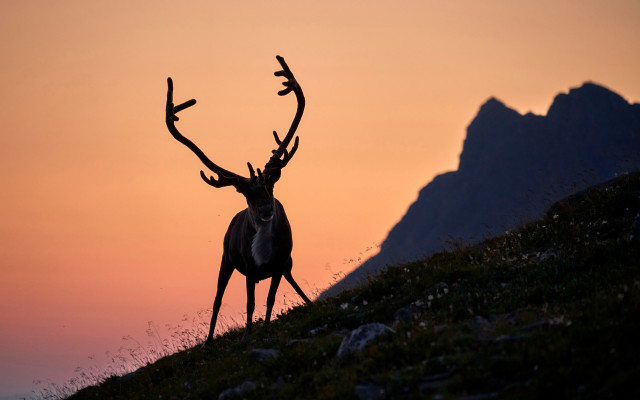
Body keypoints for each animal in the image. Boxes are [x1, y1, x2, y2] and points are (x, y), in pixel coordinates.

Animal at [165, 56, 313, 348]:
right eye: (247, 194)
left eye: (270, 185)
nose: (266, 210)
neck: (264, 249)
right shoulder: (249, 267)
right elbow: (250, 304)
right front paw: (248, 334)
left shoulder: (280, 262)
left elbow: (270, 299)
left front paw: (265, 328)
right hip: (225, 259)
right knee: (217, 299)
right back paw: (209, 341)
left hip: (285, 264)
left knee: (291, 281)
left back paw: (309, 303)